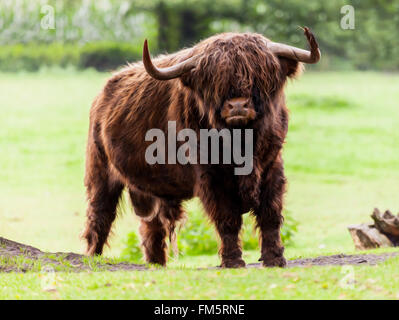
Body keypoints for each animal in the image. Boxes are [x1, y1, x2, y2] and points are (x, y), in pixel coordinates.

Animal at [83, 26, 320, 268]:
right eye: (214, 82)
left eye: (259, 76)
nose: (237, 106)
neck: (242, 142)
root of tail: (101, 97)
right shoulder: (211, 177)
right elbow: (227, 218)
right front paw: (233, 261)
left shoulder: (271, 167)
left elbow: (270, 214)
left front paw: (275, 259)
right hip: (100, 172)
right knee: (100, 216)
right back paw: (93, 258)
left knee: (151, 226)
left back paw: (157, 264)